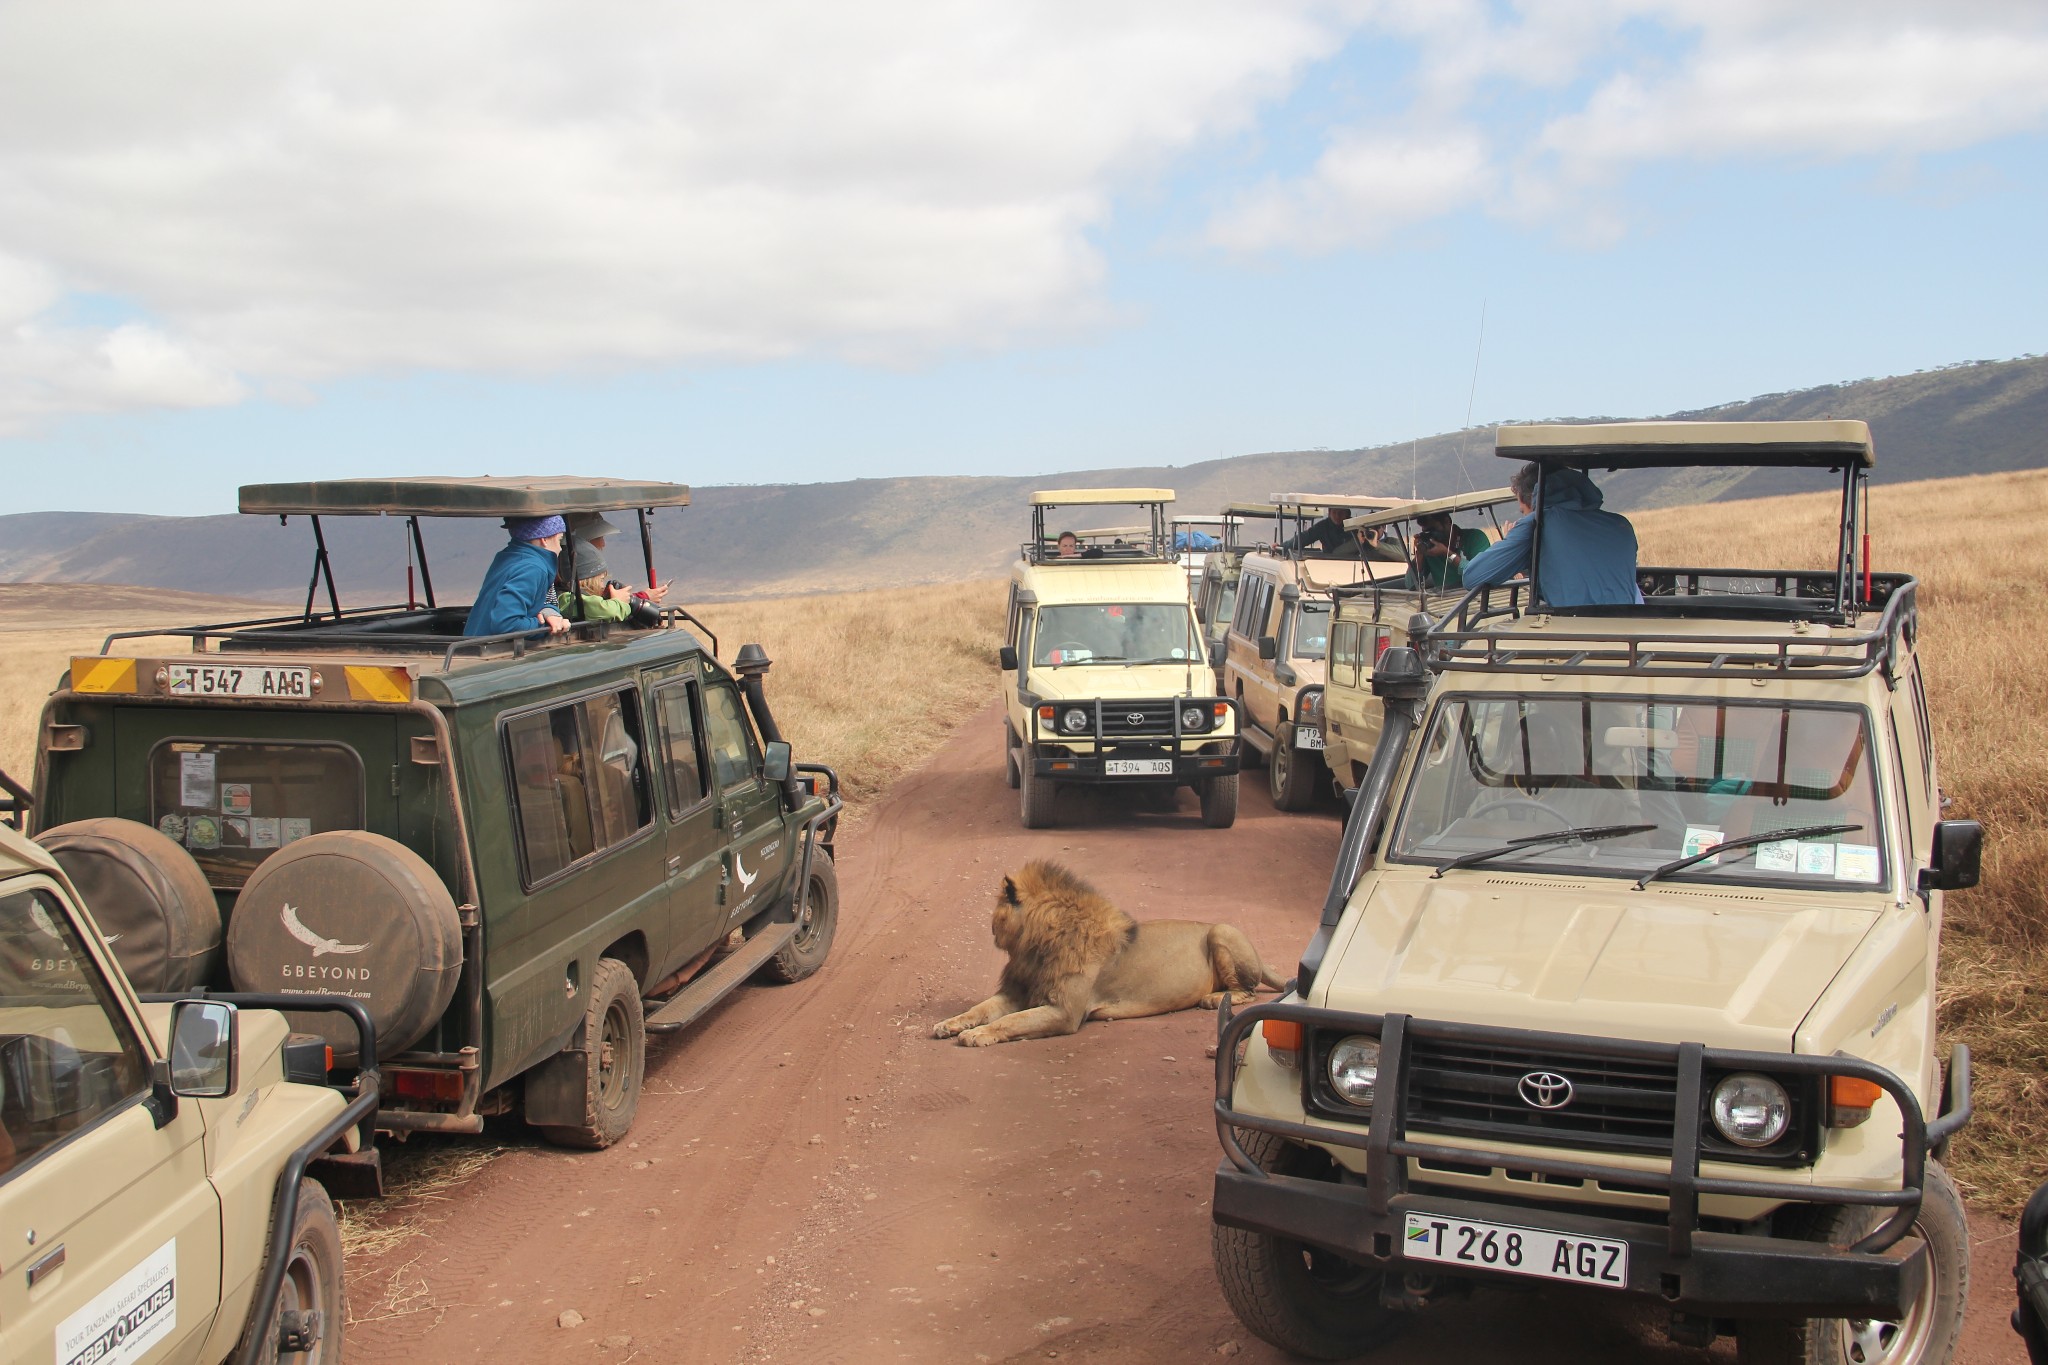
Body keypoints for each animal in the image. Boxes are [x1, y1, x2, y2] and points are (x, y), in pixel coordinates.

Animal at [937, 859, 1286, 1055]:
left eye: (996, 909)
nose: (990, 929)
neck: (1034, 948)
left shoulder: (1065, 1012)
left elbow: (1012, 1021)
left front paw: (977, 1035)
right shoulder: (1019, 991)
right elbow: (981, 1008)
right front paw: (949, 1024)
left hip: (1222, 931)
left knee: (1248, 991)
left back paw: (1214, 999)